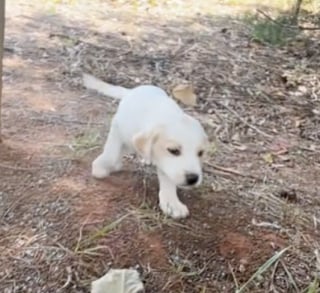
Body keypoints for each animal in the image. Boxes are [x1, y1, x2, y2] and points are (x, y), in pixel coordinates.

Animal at [82, 73, 208, 218]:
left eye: (200, 153)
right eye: (173, 150)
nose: (193, 178)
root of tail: (134, 90)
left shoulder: (165, 164)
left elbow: (167, 177)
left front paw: (171, 202)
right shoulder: (117, 127)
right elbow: (111, 152)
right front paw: (101, 166)